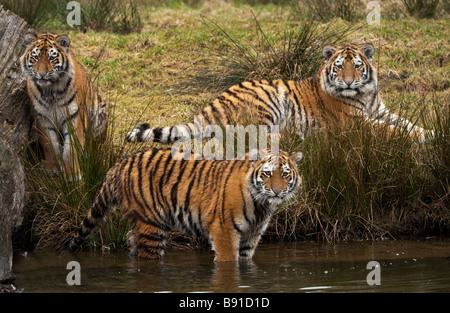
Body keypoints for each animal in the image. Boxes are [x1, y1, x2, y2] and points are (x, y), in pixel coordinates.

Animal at [21, 32, 108, 179]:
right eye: (36, 57)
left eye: (52, 58)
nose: (42, 74)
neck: (50, 90)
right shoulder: (42, 117)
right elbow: (49, 143)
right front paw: (52, 168)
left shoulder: (75, 116)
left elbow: (72, 146)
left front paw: (71, 173)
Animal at [69, 147, 302, 260]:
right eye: (267, 173)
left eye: (285, 174)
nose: (277, 191)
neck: (261, 205)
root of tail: (119, 163)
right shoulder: (224, 231)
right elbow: (229, 262)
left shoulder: (251, 236)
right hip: (151, 225)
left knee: (130, 238)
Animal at [128, 43, 430, 144]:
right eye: (338, 67)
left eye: (356, 66)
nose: (347, 83)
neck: (365, 94)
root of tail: (212, 104)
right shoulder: (355, 123)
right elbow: (391, 131)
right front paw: (421, 138)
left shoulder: (381, 111)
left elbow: (407, 123)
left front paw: (430, 132)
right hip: (268, 101)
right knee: (251, 137)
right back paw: (302, 136)